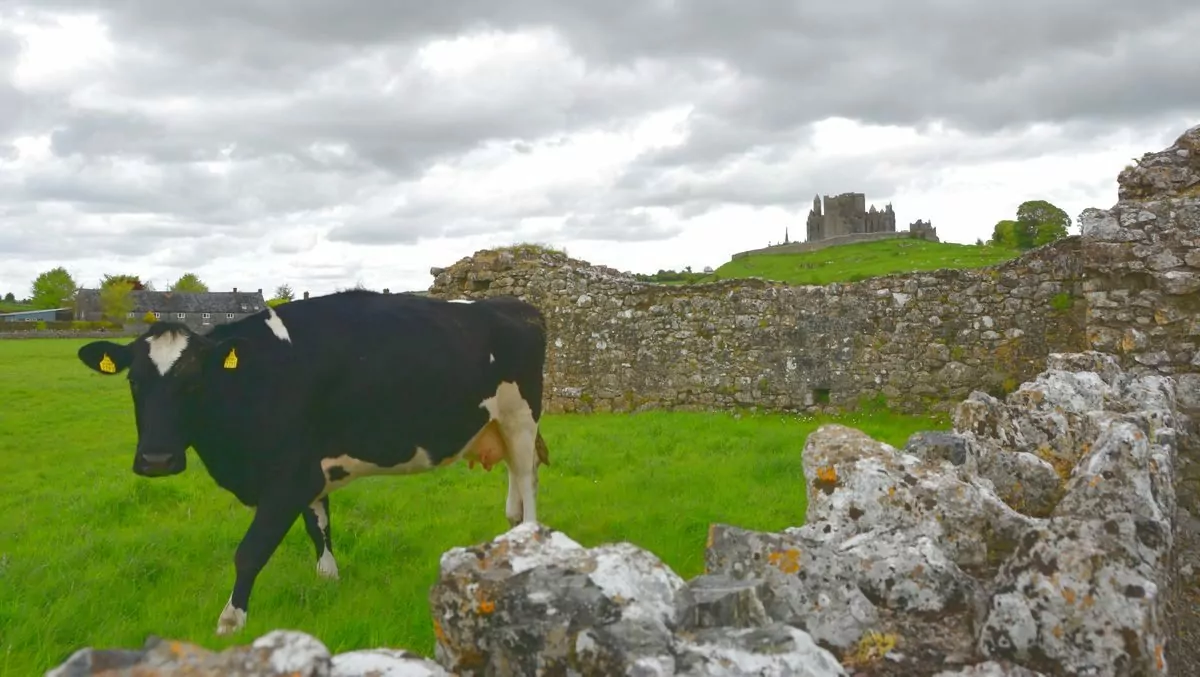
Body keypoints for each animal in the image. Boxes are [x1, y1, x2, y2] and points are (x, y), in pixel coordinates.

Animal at [70, 290, 549, 633]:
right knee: (513, 476)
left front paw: (231, 621)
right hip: (498, 424)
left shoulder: (289, 479)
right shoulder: (307, 473)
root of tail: (514, 304)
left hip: (521, 416)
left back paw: (529, 538)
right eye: (134, 381)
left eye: (194, 382)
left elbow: (249, 552)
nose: (156, 459)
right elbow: (318, 527)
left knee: (527, 477)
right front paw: (328, 581)